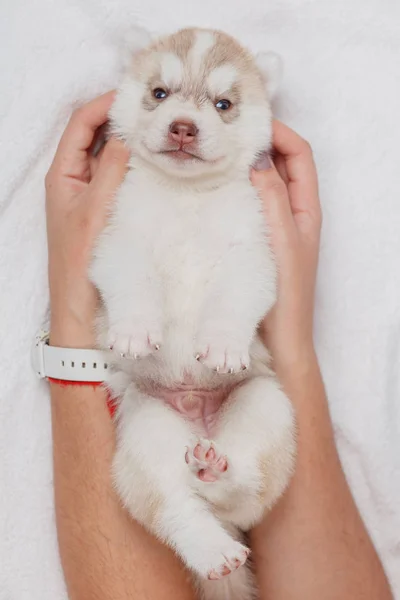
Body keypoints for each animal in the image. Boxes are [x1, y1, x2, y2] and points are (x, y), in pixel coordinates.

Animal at [91, 25, 296, 596]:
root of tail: (196, 419)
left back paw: (220, 471)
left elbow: (234, 295)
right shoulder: (118, 239)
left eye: (223, 104)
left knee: (246, 493)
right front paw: (135, 331)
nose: (183, 126)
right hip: (147, 433)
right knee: (178, 507)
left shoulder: (252, 252)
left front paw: (222, 343)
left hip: (265, 407)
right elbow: (132, 281)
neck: (186, 195)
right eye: (160, 93)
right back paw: (212, 548)